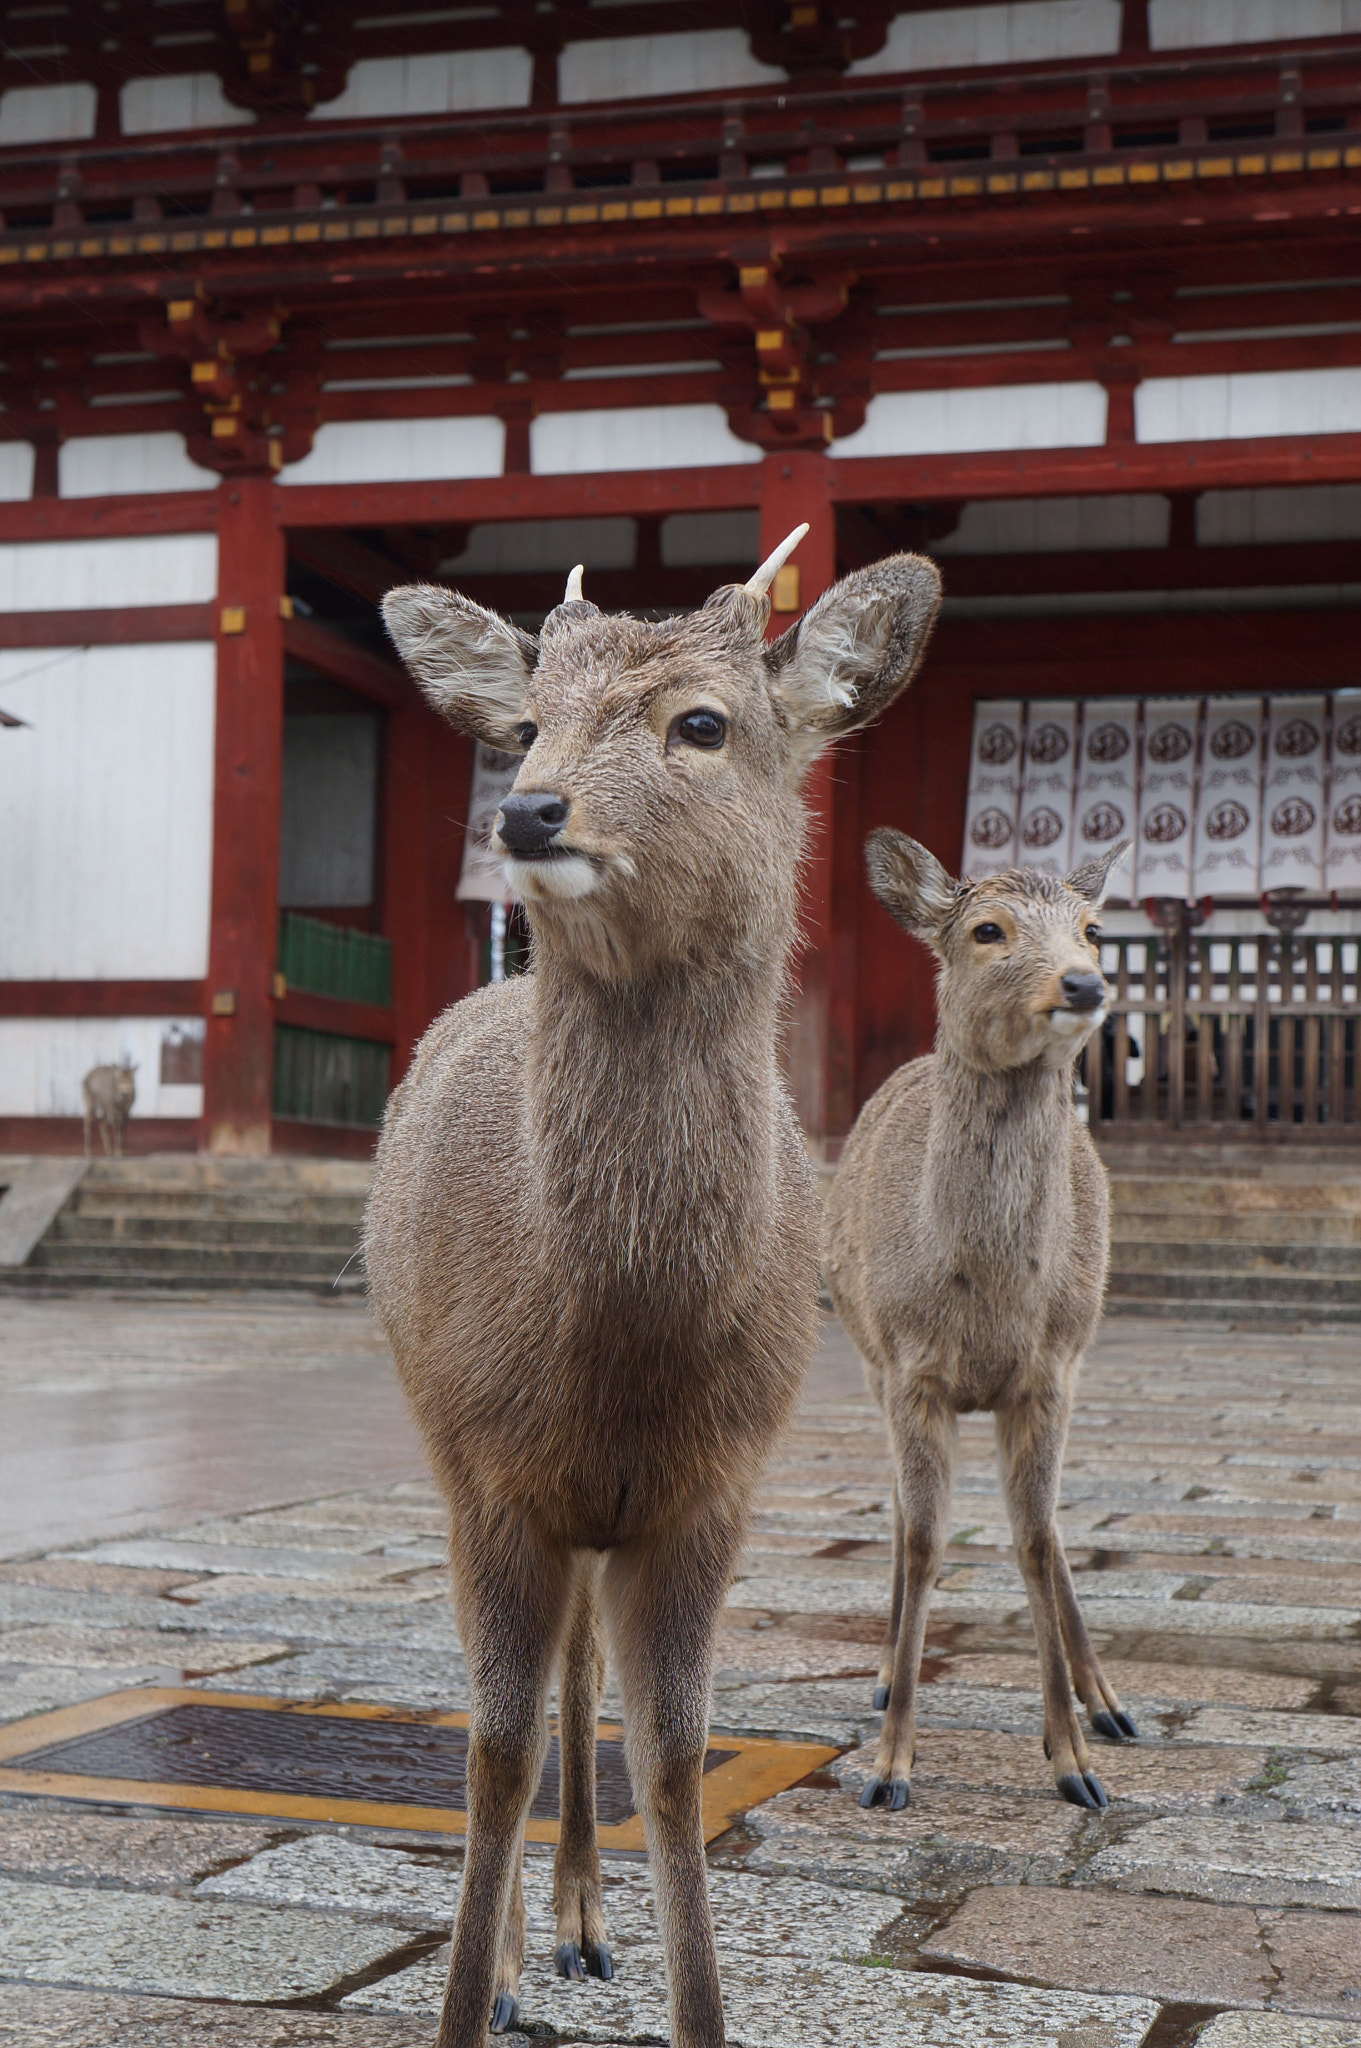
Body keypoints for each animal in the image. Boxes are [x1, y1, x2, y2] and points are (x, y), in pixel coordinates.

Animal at [366, 536, 941, 2039]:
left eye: (702, 723)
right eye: (524, 722)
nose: (527, 809)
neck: (620, 1351)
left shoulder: (711, 1484)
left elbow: (675, 1755)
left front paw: (692, 2002)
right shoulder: (490, 1469)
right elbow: (492, 1750)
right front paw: (472, 1993)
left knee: (584, 1675)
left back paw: (581, 1924)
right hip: (446, 1443)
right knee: (534, 1692)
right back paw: (534, 1950)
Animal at [818, 839, 1137, 1818]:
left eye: (1093, 928)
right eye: (986, 930)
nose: (1083, 982)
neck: (987, 1300)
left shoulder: (1048, 1371)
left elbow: (1033, 1540)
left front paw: (1073, 1759)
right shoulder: (909, 1370)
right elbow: (925, 1540)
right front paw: (888, 1766)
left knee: (1050, 1525)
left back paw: (1106, 1701)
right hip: (867, 1360)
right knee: (897, 1511)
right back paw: (887, 1672)